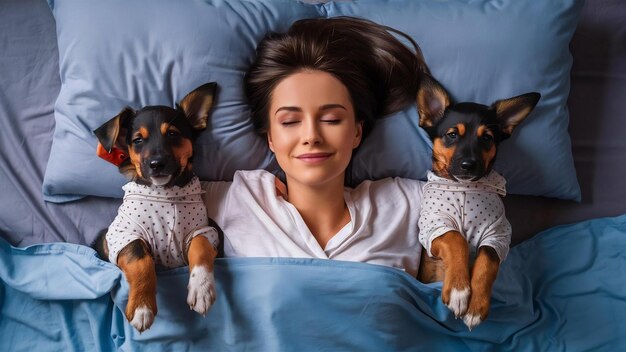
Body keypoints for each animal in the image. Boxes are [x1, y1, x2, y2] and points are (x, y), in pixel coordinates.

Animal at [92, 83, 219, 332]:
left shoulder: (203, 229)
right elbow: (141, 261)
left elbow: (200, 245)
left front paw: (201, 288)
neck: (165, 193)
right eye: (137, 140)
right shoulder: (124, 235)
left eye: (172, 134)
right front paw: (142, 307)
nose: (156, 164)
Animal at [414, 75, 536, 332]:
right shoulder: (434, 227)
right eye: (452, 135)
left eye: (487, 138)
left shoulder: (498, 233)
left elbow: (487, 260)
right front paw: (459, 290)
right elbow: (456, 239)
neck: (464, 187)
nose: (469, 165)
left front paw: (476, 305)